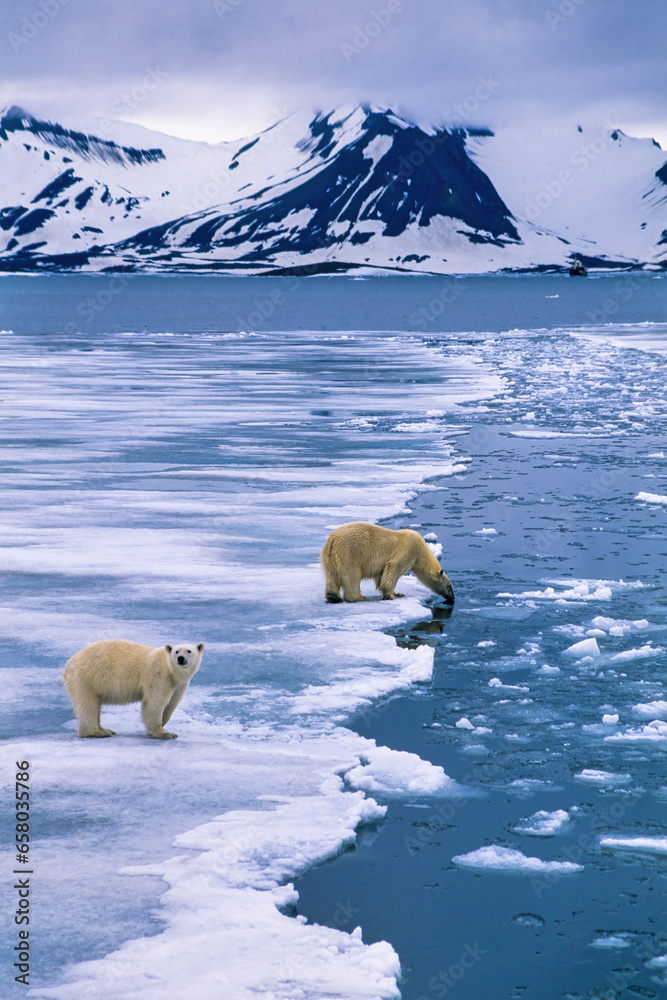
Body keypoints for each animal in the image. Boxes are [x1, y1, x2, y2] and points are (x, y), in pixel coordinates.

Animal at [66, 636, 206, 740]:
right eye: (176, 651)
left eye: (189, 651)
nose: (181, 658)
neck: (170, 670)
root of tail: (69, 663)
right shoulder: (157, 675)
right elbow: (154, 703)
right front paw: (164, 733)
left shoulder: (179, 685)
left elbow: (171, 705)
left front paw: (162, 724)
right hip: (87, 678)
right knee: (88, 704)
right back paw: (98, 732)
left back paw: (105, 729)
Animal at [320, 524, 456, 600]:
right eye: (449, 586)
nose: (452, 598)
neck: (421, 550)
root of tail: (332, 540)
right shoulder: (409, 548)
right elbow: (394, 567)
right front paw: (392, 595)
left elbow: (381, 576)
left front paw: (397, 593)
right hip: (350, 553)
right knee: (352, 576)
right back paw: (359, 597)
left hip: (328, 557)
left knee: (331, 575)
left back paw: (333, 597)